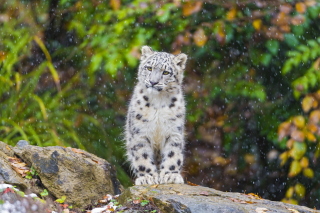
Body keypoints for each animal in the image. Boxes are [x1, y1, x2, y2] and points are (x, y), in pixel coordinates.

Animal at [125, 45, 188, 185]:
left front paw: (170, 175)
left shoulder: (173, 132)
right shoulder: (140, 132)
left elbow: (173, 154)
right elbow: (142, 156)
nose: (153, 82)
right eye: (149, 68)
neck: (158, 102)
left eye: (166, 72)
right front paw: (147, 177)